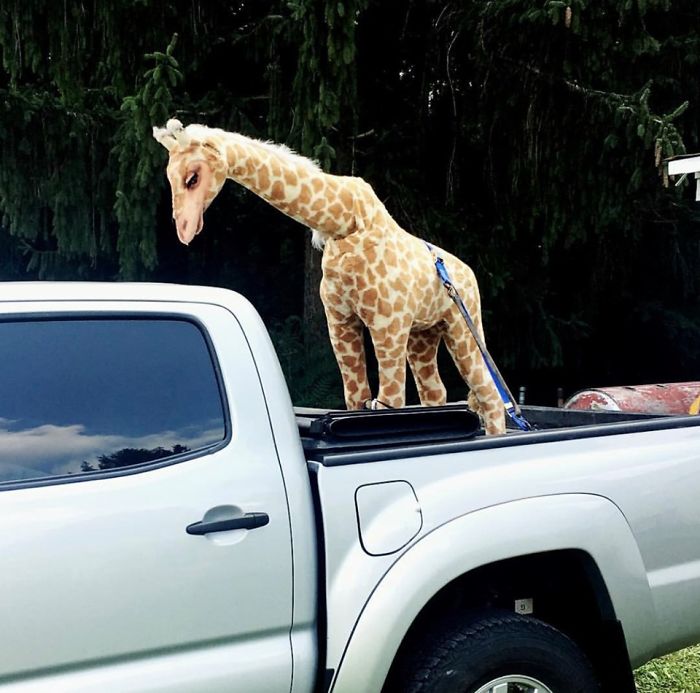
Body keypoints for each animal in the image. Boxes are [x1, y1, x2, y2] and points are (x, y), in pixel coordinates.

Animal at [152, 119, 506, 434]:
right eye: (169, 178)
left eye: (193, 177)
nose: (184, 230)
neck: (344, 224)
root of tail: (469, 273)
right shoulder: (340, 320)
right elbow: (356, 398)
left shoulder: (388, 323)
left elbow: (389, 402)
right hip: (424, 335)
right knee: (436, 393)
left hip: (461, 326)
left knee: (489, 394)